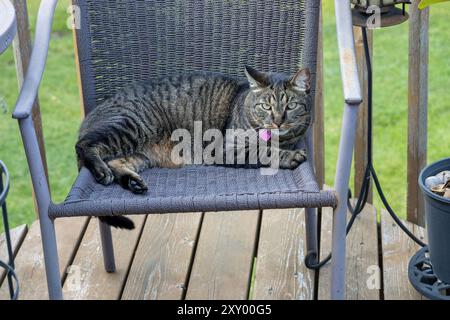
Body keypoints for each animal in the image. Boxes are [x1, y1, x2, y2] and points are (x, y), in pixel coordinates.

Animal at [74, 66, 312, 229]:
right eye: (266, 106)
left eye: (291, 106)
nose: (278, 122)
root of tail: (91, 115)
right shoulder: (226, 149)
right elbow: (262, 151)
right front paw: (290, 156)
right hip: (129, 127)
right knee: (84, 145)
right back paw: (101, 171)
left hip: (139, 153)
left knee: (116, 161)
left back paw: (132, 182)